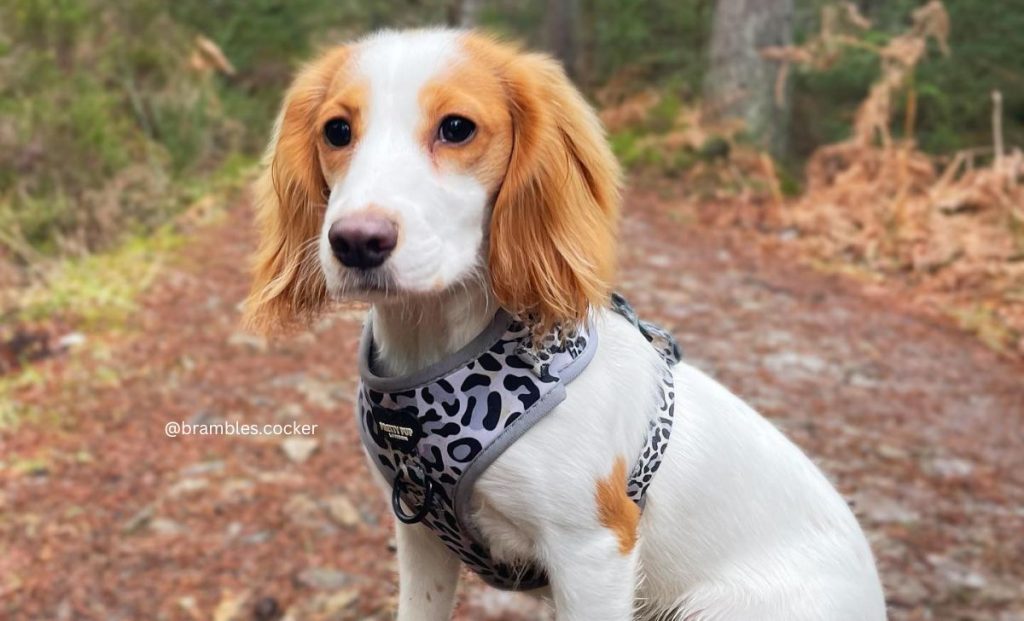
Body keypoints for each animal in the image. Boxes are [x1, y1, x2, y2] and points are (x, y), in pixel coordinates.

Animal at [245, 29, 888, 621]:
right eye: (336, 131)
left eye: (457, 127)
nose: (357, 242)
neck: (435, 355)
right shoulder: (420, 532)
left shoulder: (594, 550)